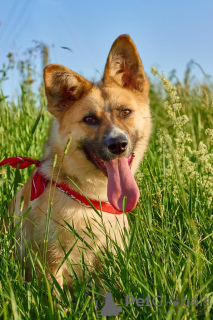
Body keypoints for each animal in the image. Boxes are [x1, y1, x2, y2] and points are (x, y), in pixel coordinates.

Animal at [8, 35, 151, 290]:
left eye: (125, 112)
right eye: (90, 119)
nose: (118, 145)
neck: (90, 200)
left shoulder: (109, 263)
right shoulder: (50, 266)